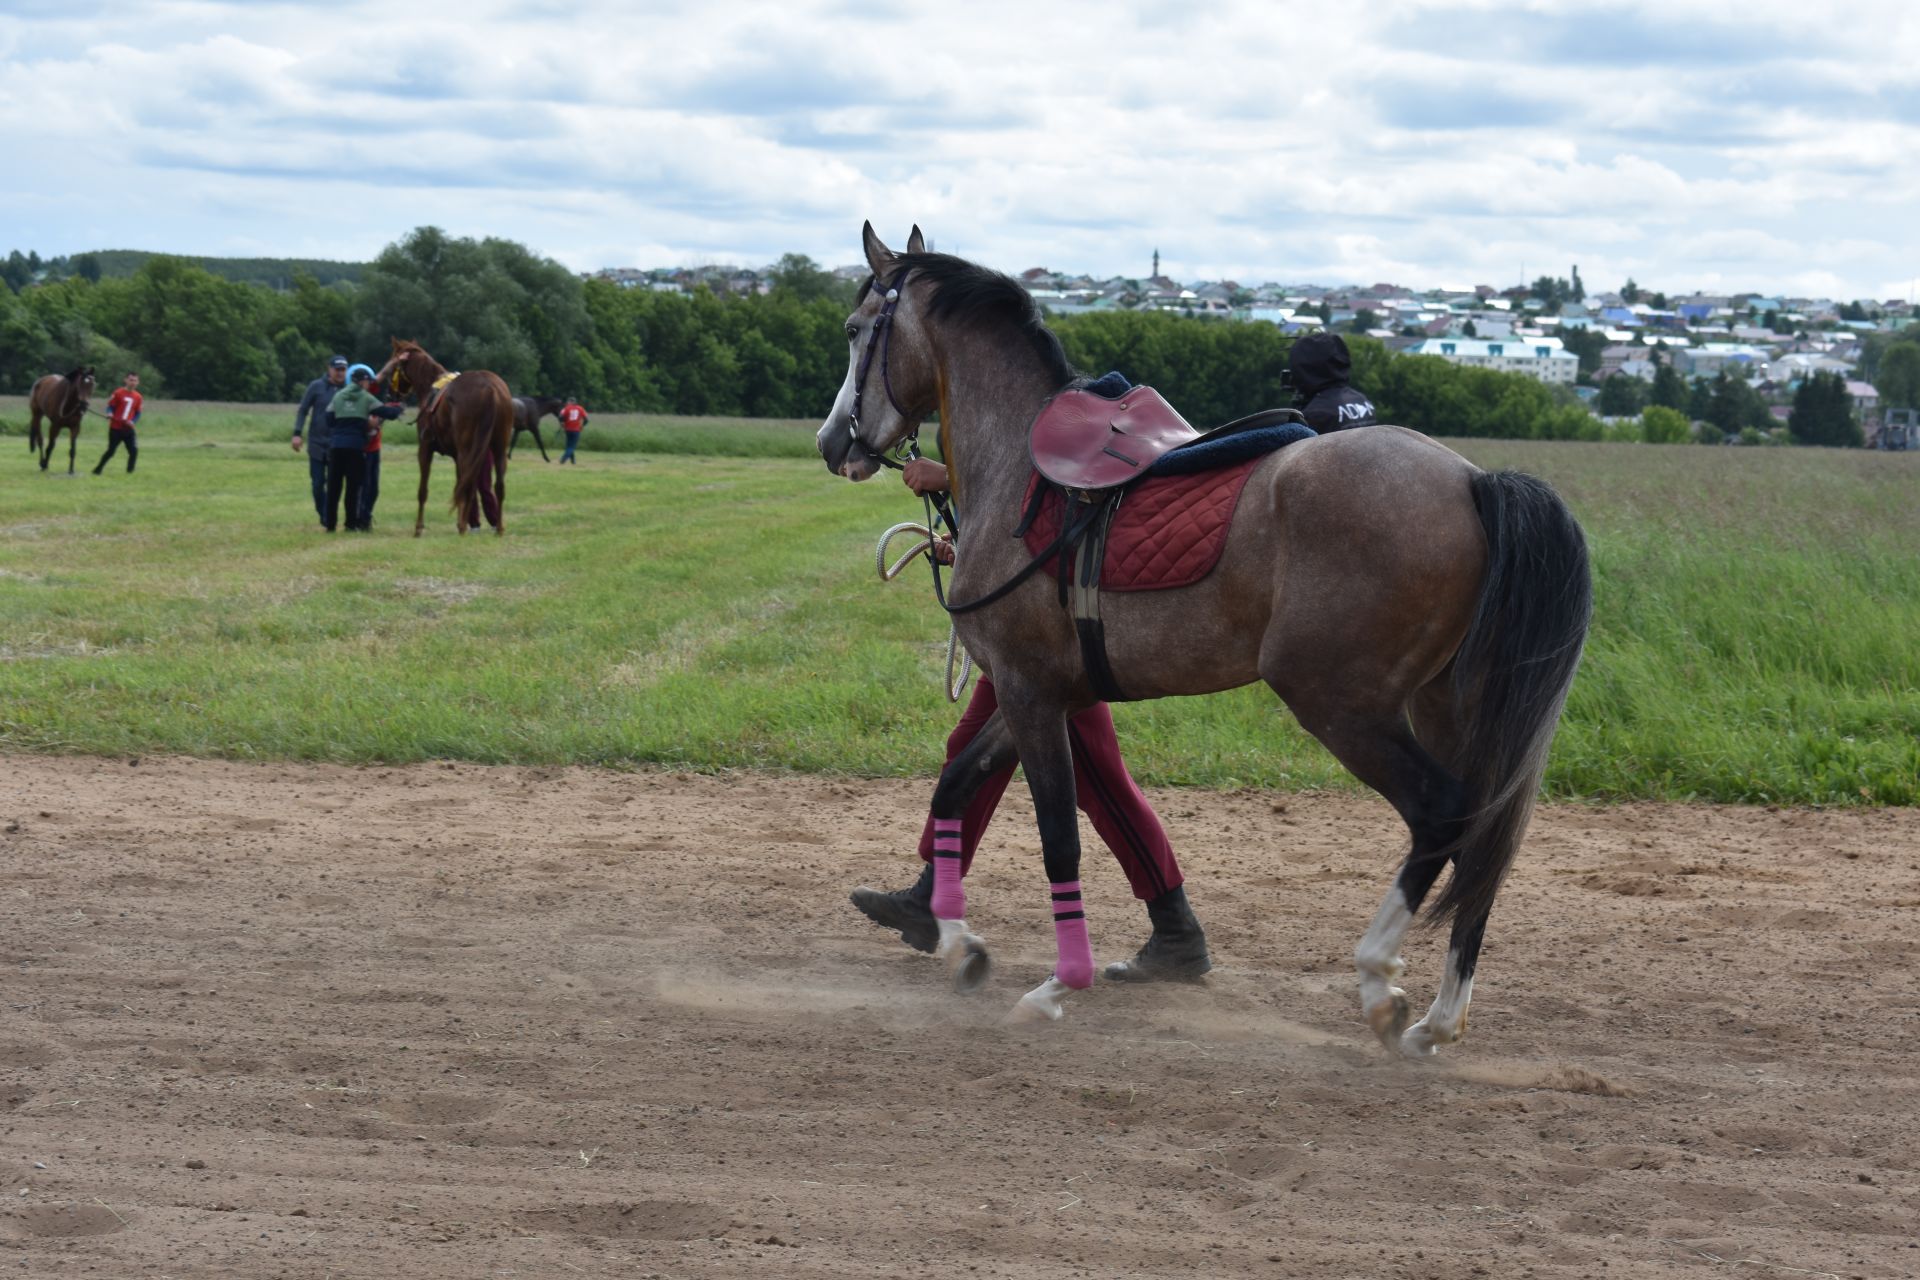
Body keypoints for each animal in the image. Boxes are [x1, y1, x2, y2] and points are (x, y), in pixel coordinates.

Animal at [368, 339, 510, 537]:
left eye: (393, 366)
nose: (389, 394)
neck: (431, 387)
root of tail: (490, 388)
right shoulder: (458, 456)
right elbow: (461, 484)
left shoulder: (425, 449)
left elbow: (423, 490)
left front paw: (419, 528)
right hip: (497, 449)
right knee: (497, 486)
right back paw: (497, 528)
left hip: (468, 450)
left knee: (469, 486)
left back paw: (464, 527)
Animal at [814, 225, 1589, 1059]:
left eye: (856, 330)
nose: (830, 442)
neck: (1022, 471)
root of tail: (1474, 481)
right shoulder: (1043, 693)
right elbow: (958, 784)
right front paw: (958, 942)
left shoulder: (1027, 691)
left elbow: (1058, 837)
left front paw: (1058, 984)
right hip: (1448, 704)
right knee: (1480, 834)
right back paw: (1439, 1018)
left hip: (1340, 702)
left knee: (1440, 815)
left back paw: (1380, 978)